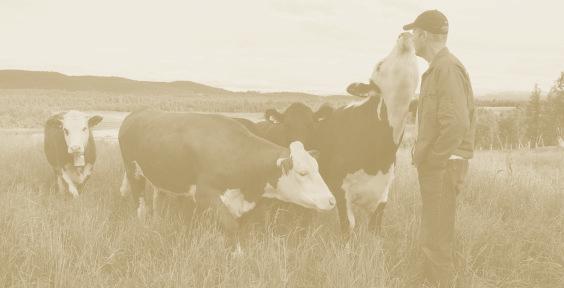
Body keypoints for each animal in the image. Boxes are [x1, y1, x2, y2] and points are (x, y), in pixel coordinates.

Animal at [118, 108, 334, 238]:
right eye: (303, 172)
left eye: (318, 169)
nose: (331, 201)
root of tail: (136, 113)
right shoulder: (205, 195)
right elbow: (231, 227)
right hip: (132, 171)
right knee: (141, 206)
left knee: (157, 198)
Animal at [312, 32, 418, 234]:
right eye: (379, 65)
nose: (404, 33)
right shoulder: (340, 189)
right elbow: (348, 225)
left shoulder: (382, 192)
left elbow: (375, 226)